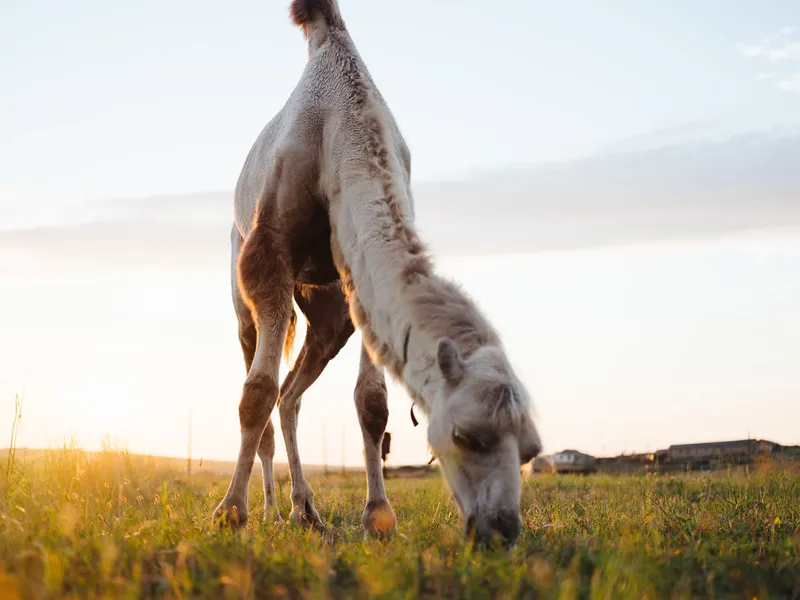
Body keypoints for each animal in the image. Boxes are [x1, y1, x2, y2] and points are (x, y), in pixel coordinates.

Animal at [213, 0, 542, 548]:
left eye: (531, 451)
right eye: (466, 436)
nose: (501, 530)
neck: (341, 125)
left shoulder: (355, 282)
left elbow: (373, 402)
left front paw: (379, 516)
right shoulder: (267, 254)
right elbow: (253, 394)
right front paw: (230, 513)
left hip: (328, 313)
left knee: (290, 395)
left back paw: (306, 510)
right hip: (241, 287)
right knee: (262, 382)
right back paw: (271, 512)